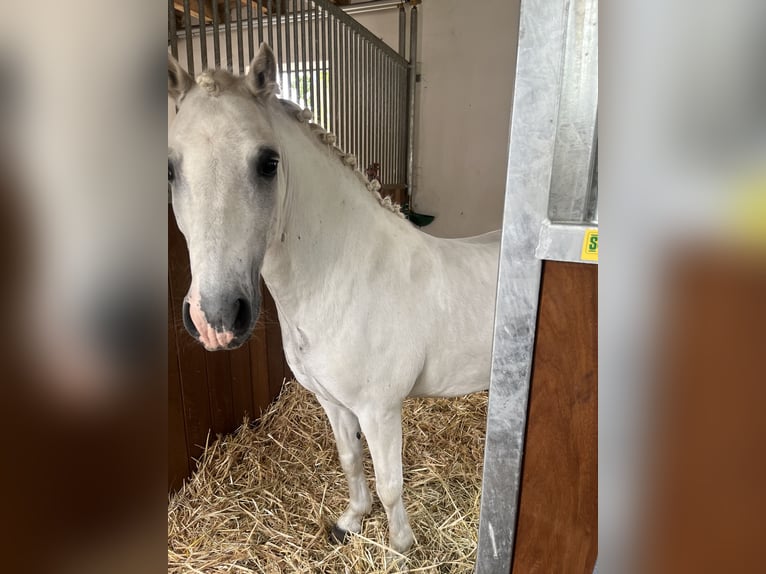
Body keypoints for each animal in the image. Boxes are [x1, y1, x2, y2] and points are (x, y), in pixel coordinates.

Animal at [168, 45, 500, 560]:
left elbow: (390, 485)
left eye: (268, 163)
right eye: (170, 168)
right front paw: (351, 523)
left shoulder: (380, 410)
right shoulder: (333, 402)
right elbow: (349, 461)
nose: (216, 318)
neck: (348, 278)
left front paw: (400, 549)